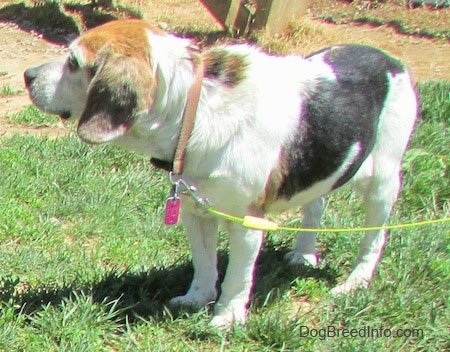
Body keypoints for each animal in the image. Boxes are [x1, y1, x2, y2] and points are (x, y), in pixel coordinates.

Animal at [24, 18, 418, 328]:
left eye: (73, 62)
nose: (27, 75)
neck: (195, 110)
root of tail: (391, 60)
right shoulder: (195, 210)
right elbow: (204, 264)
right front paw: (197, 298)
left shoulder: (247, 224)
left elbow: (237, 278)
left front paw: (226, 318)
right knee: (315, 204)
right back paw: (304, 254)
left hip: (382, 181)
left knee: (374, 239)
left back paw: (355, 282)